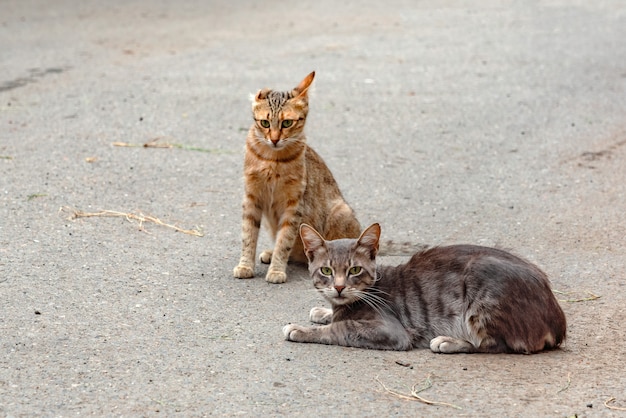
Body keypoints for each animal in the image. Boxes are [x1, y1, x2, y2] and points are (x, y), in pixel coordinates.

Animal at [233, 72, 360, 284]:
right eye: (265, 123)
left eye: (287, 123)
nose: (274, 139)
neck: (272, 159)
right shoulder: (251, 198)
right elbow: (248, 235)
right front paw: (245, 266)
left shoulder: (294, 205)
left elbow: (284, 240)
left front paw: (277, 270)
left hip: (340, 212)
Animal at [286, 224, 568, 354]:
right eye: (326, 271)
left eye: (354, 270)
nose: (339, 287)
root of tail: (557, 319)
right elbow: (334, 316)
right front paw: (323, 311)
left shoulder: (390, 331)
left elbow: (340, 328)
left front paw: (301, 329)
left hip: (481, 291)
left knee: (493, 344)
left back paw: (449, 342)